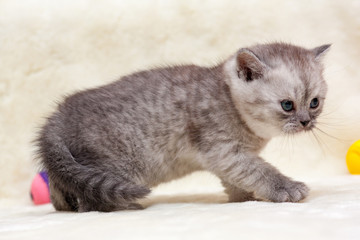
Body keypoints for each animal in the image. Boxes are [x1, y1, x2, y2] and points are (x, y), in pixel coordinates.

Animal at [35, 42, 330, 212]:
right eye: (288, 105)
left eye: (314, 102)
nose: (306, 121)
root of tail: (57, 115)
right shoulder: (224, 151)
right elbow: (259, 170)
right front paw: (285, 188)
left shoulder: (227, 159)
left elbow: (239, 178)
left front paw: (244, 198)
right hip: (113, 164)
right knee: (88, 201)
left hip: (75, 168)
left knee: (63, 189)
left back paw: (65, 205)